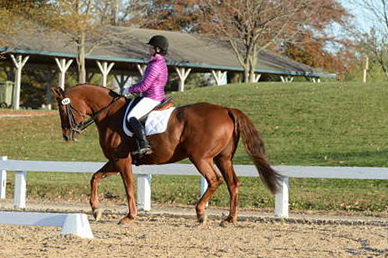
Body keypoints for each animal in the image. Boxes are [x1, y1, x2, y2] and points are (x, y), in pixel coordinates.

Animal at [52, 83, 282, 225]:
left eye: (62, 110)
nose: (66, 135)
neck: (110, 114)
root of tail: (226, 109)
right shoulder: (115, 161)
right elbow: (95, 177)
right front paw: (95, 210)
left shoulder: (121, 160)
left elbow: (128, 187)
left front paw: (129, 216)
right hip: (223, 158)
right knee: (232, 183)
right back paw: (229, 219)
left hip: (201, 158)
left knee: (214, 180)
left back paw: (201, 212)